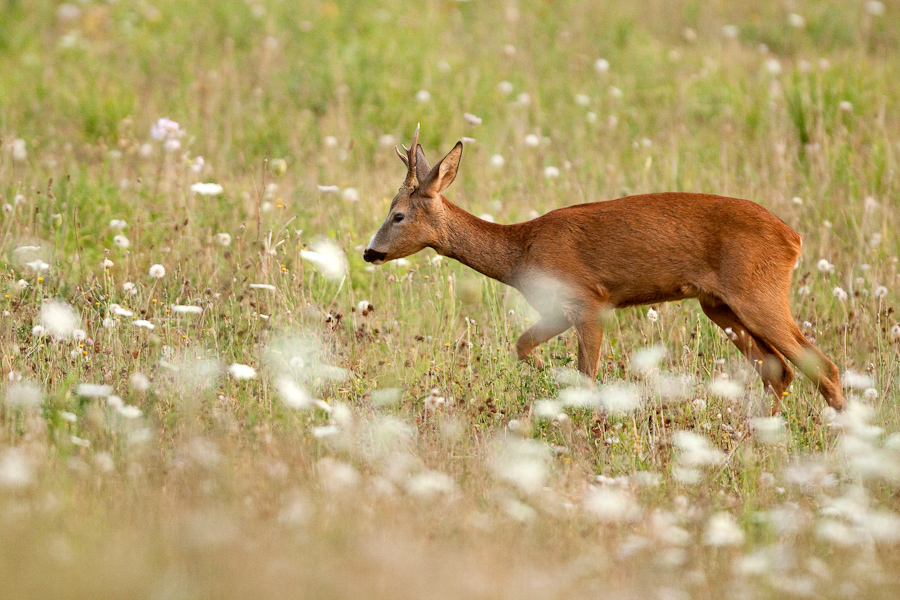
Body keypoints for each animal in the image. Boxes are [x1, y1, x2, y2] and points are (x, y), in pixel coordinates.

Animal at [360, 124, 844, 410]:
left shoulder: (590, 301)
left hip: (757, 291)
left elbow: (586, 377)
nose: (369, 252)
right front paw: (545, 375)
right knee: (778, 370)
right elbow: (522, 344)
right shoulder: (559, 306)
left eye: (397, 215)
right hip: (719, 305)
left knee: (821, 365)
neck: (521, 250)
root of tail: (793, 238)